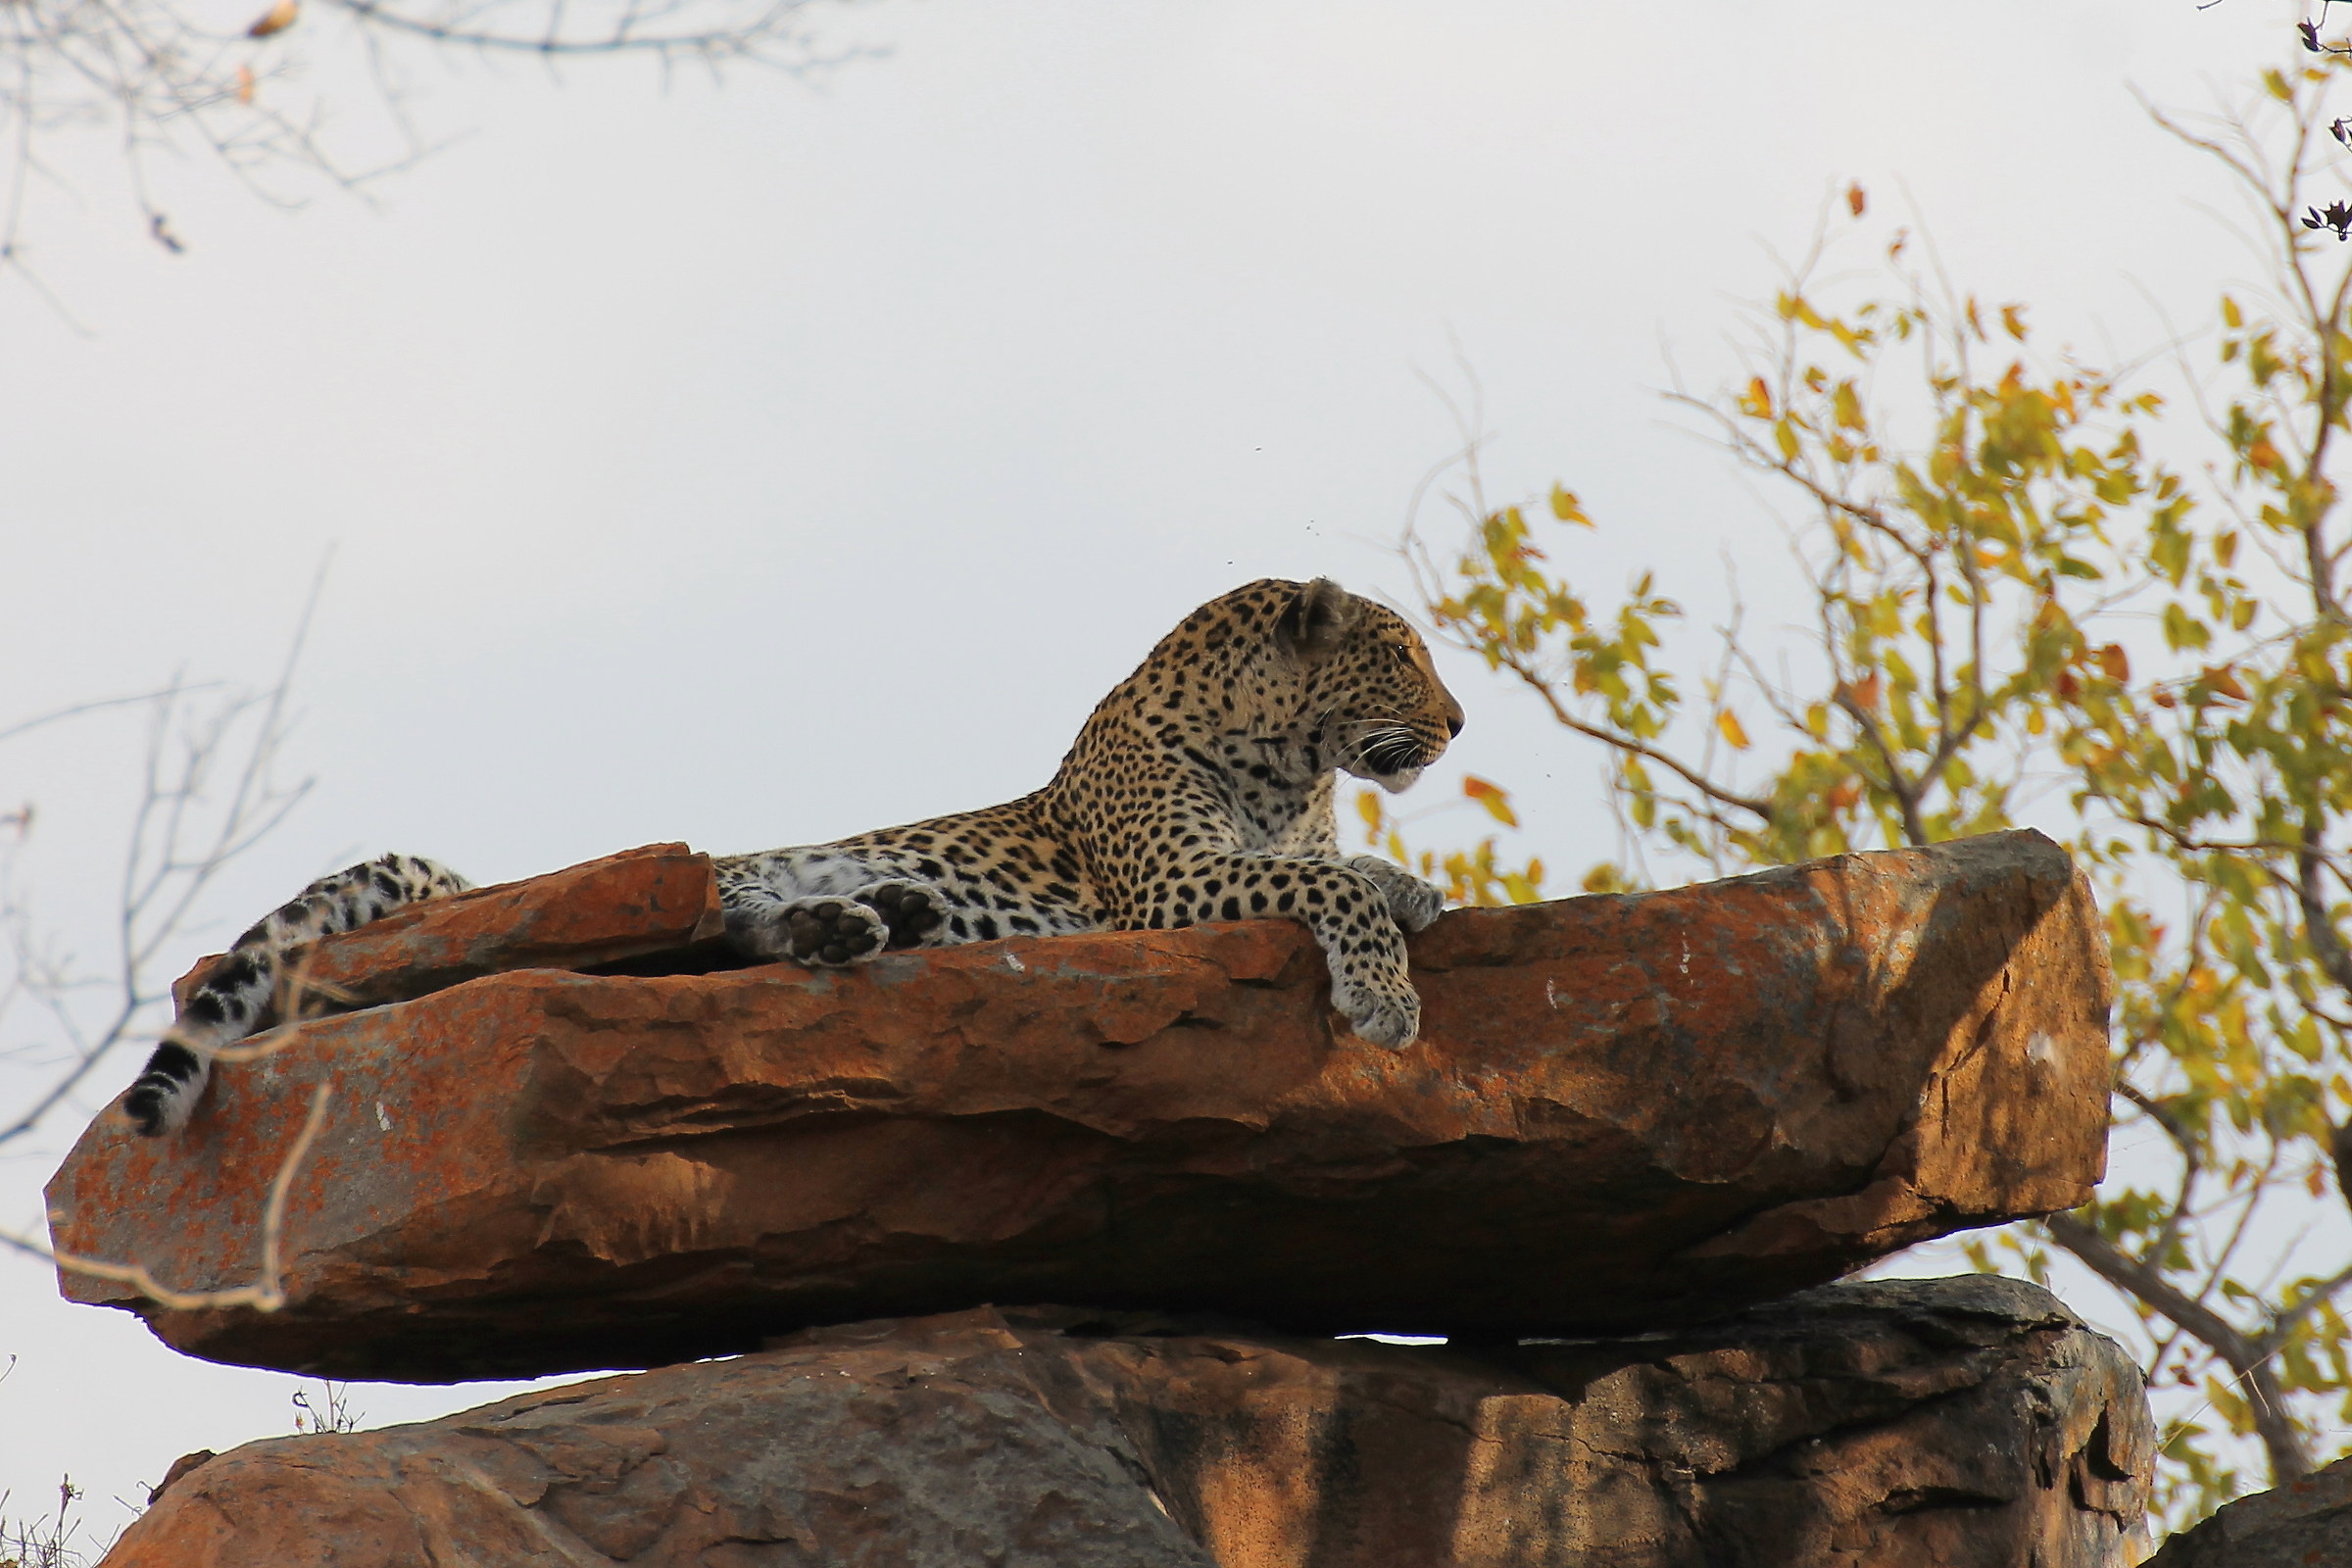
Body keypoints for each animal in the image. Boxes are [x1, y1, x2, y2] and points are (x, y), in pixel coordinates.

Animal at [122, 577, 1466, 1136]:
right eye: (1403, 657)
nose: (1459, 724)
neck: (1292, 766)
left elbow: (1355, 872)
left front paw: (1420, 894)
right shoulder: (1177, 881)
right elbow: (1326, 883)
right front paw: (1388, 999)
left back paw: (880, 921)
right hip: (720, 875)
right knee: (697, 931)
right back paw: (856, 924)